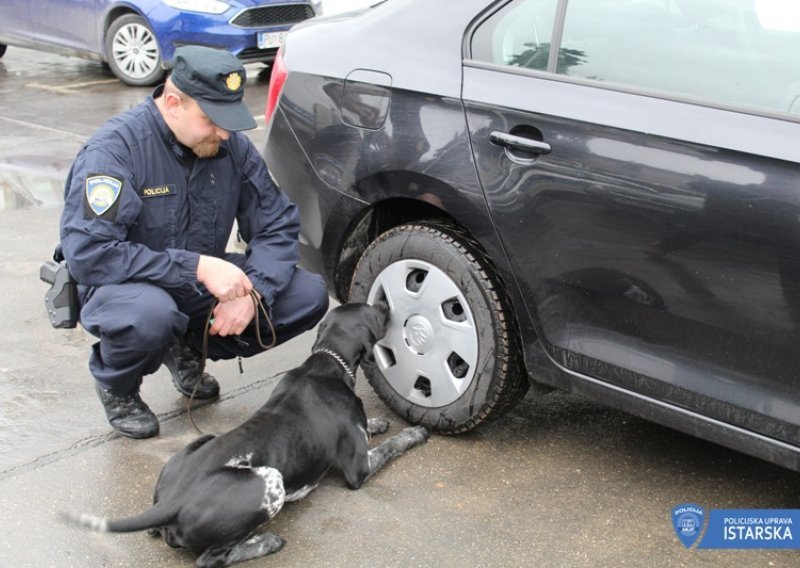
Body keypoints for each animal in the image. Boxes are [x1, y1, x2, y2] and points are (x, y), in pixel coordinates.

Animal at [65, 302, 428, 564]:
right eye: (375, 313)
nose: (386, 305)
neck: (327, 362)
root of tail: (171, 502)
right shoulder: (358, 470)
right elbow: (392, 445)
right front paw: (414, 433)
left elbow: (371, 430)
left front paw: (376, 424)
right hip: (270, 481)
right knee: (211, 559)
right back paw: (265, 542)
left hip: (205, 440)